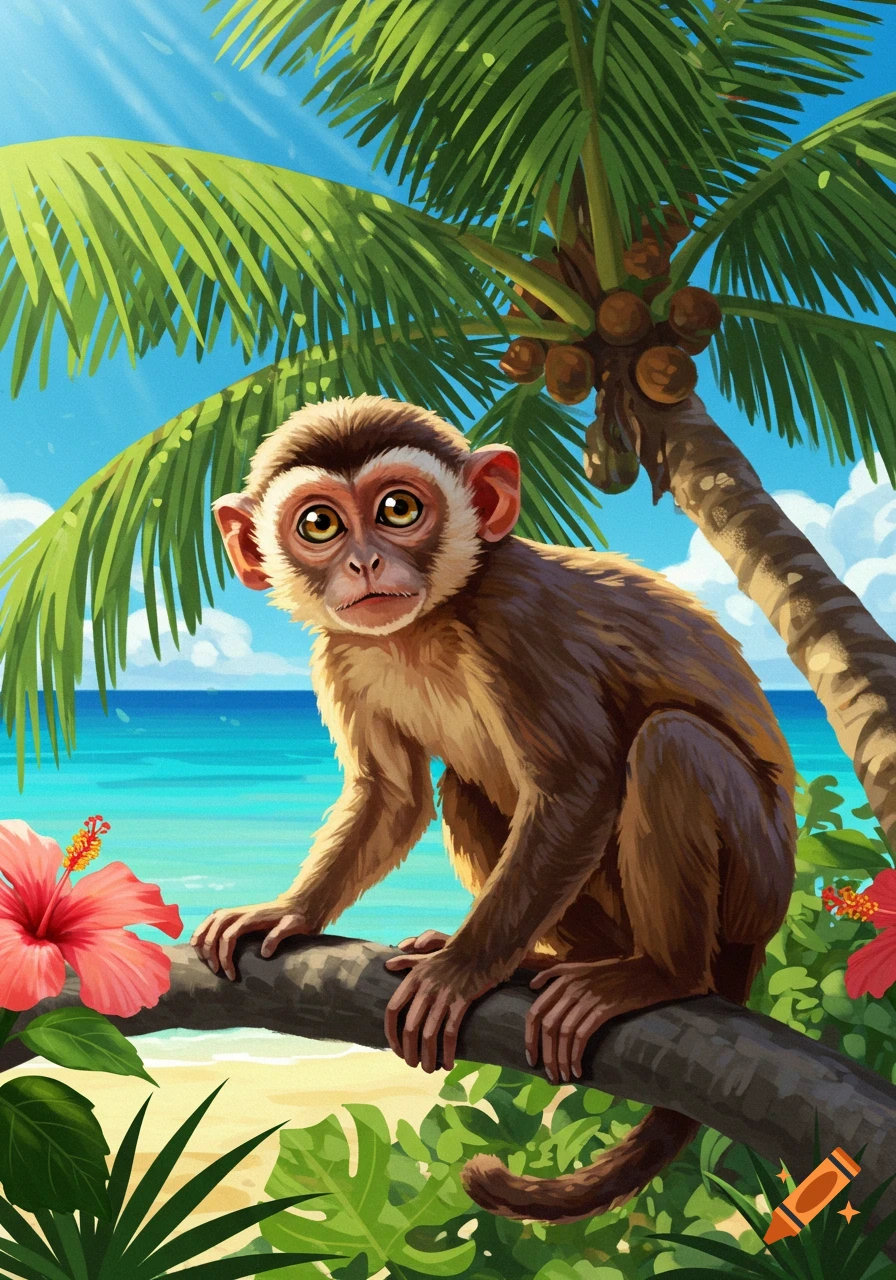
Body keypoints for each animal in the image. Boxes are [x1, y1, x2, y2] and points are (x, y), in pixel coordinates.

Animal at [191, 393, 796, 1223]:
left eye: (399, 509)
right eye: (319, 525)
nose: (364, 562)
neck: (425, 625)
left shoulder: (519, 620)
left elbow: (578, 788)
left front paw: (459, 973)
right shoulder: (340, 649)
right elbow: (393, 797)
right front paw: (287, 912)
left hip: (754, 882)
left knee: (670, 747)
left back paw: (658, 975)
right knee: (465, 789)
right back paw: (558, 957)